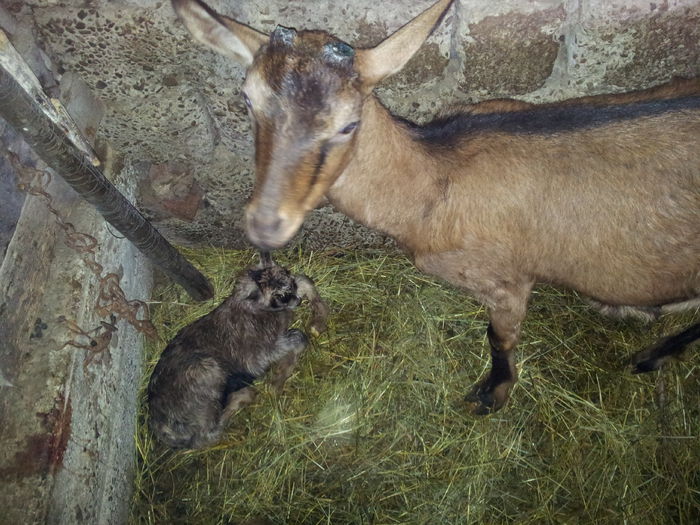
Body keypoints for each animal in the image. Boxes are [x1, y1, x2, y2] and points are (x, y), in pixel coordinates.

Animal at [171, 0, 700, 416]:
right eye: (247, 99)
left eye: (348, 124)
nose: (265, 224)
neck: (432, 187)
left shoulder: (508, 282)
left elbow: (499, 340)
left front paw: (490, 396)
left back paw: (649, 351)